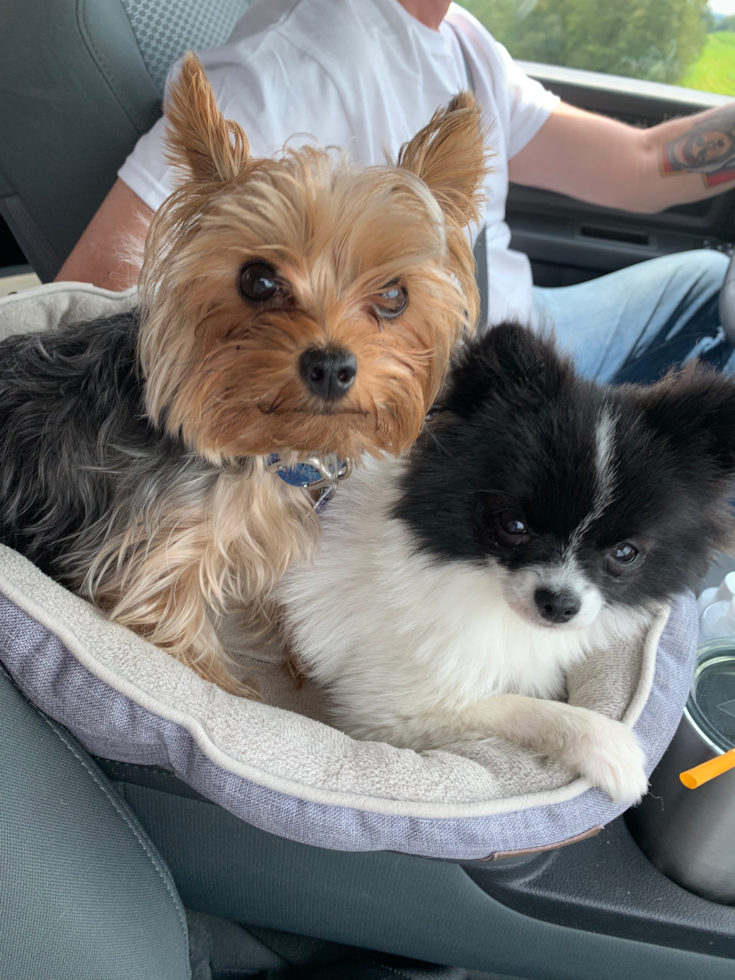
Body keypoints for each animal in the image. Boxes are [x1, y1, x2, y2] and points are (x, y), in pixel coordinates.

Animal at [0, 55, 488, 696]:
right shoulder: (151, 562)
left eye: (393, 295)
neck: (267, 454)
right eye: (257, 279)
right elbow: (187, 647)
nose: (331, 366)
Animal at [278, 324, 735, 804]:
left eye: (625, 553)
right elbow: (512, 705)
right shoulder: (389, 711)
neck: (480, 585)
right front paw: (608, 744)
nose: (559, 604)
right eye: (514, 525)